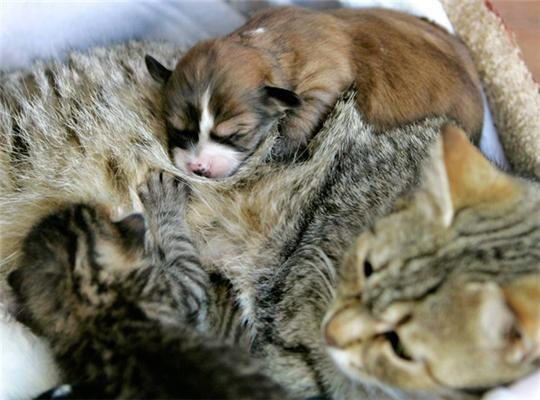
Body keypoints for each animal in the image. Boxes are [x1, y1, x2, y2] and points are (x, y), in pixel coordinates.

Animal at [146, 5, 484, 178]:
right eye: (178, 130)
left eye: (237, 134)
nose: (198, 168)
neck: (266, 45)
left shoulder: (322, 84)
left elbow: (301, 119)